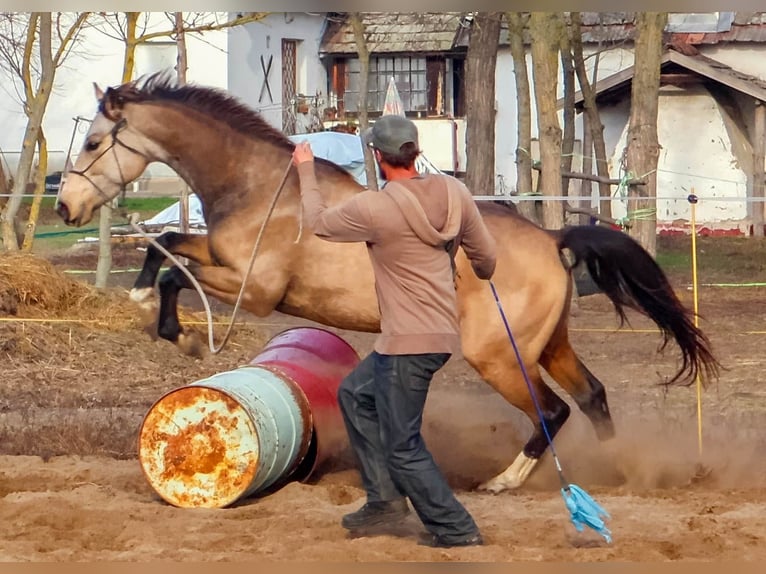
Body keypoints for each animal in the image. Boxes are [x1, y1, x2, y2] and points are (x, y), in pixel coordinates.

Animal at [55, 74, 720, 492]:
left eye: (92, 142)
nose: (64, 207)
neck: (259, 185)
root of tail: (553, 239)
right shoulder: (227, 264)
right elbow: (166, 244)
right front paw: (152, 306)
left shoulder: (254, 288)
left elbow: (172, 264)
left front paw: (179, 331)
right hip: (547, 345)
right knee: (594, 398)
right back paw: (615, 473)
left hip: (498, 356)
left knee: (553, 411)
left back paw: (505, 481)